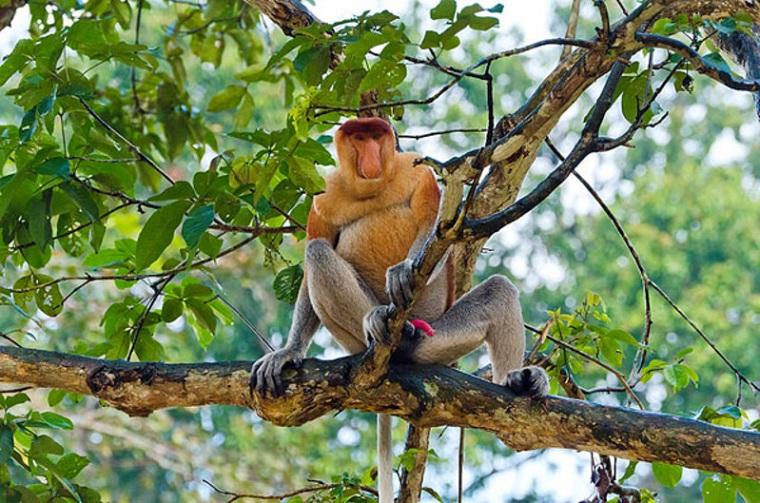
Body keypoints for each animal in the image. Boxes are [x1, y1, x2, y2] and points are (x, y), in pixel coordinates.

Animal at [250, 117, 548, 503]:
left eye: (377, 137)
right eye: (359, 138)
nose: (371, 157)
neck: (371, 189)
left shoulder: (416, 171)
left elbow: (433, 227)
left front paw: (402, 271)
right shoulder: (322, 199)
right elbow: (317, 246)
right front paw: (288, 352)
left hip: (437, 337)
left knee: (499, 291)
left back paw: (514, 380)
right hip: (356, 340)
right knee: (318, 253)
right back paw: (380, 326)